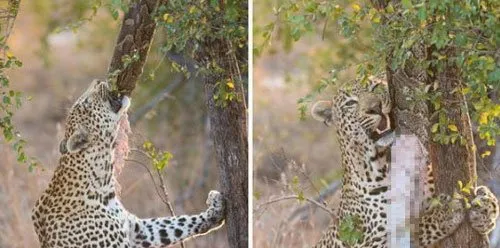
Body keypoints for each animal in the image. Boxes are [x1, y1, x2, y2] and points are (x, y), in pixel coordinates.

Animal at [31, 80, 225, 247]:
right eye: (85, 102)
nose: (98, 81)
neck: (103, 180)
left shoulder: (138, 230)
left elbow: (174, 224)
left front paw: (216, 208)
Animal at [310, 76, 498, 247]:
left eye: (374, 87)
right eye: (350, 103)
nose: (375, 107)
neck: (386, 162)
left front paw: (485, 206)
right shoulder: (371, 242)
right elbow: (416, 228)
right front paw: (446, 212)